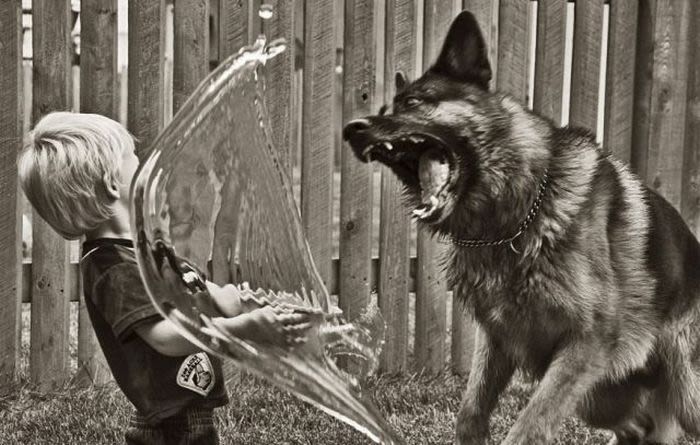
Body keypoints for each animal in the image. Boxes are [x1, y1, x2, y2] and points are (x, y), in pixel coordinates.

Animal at [342, 10, 700, 444]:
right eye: (383, 107)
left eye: (412, 103)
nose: (351, 130)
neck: (513, 218)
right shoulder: (497, 339)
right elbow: (470, 413)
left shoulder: (583, 346)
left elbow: (530, 426)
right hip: (600, 398)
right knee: (640, 427)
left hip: (682, 391)